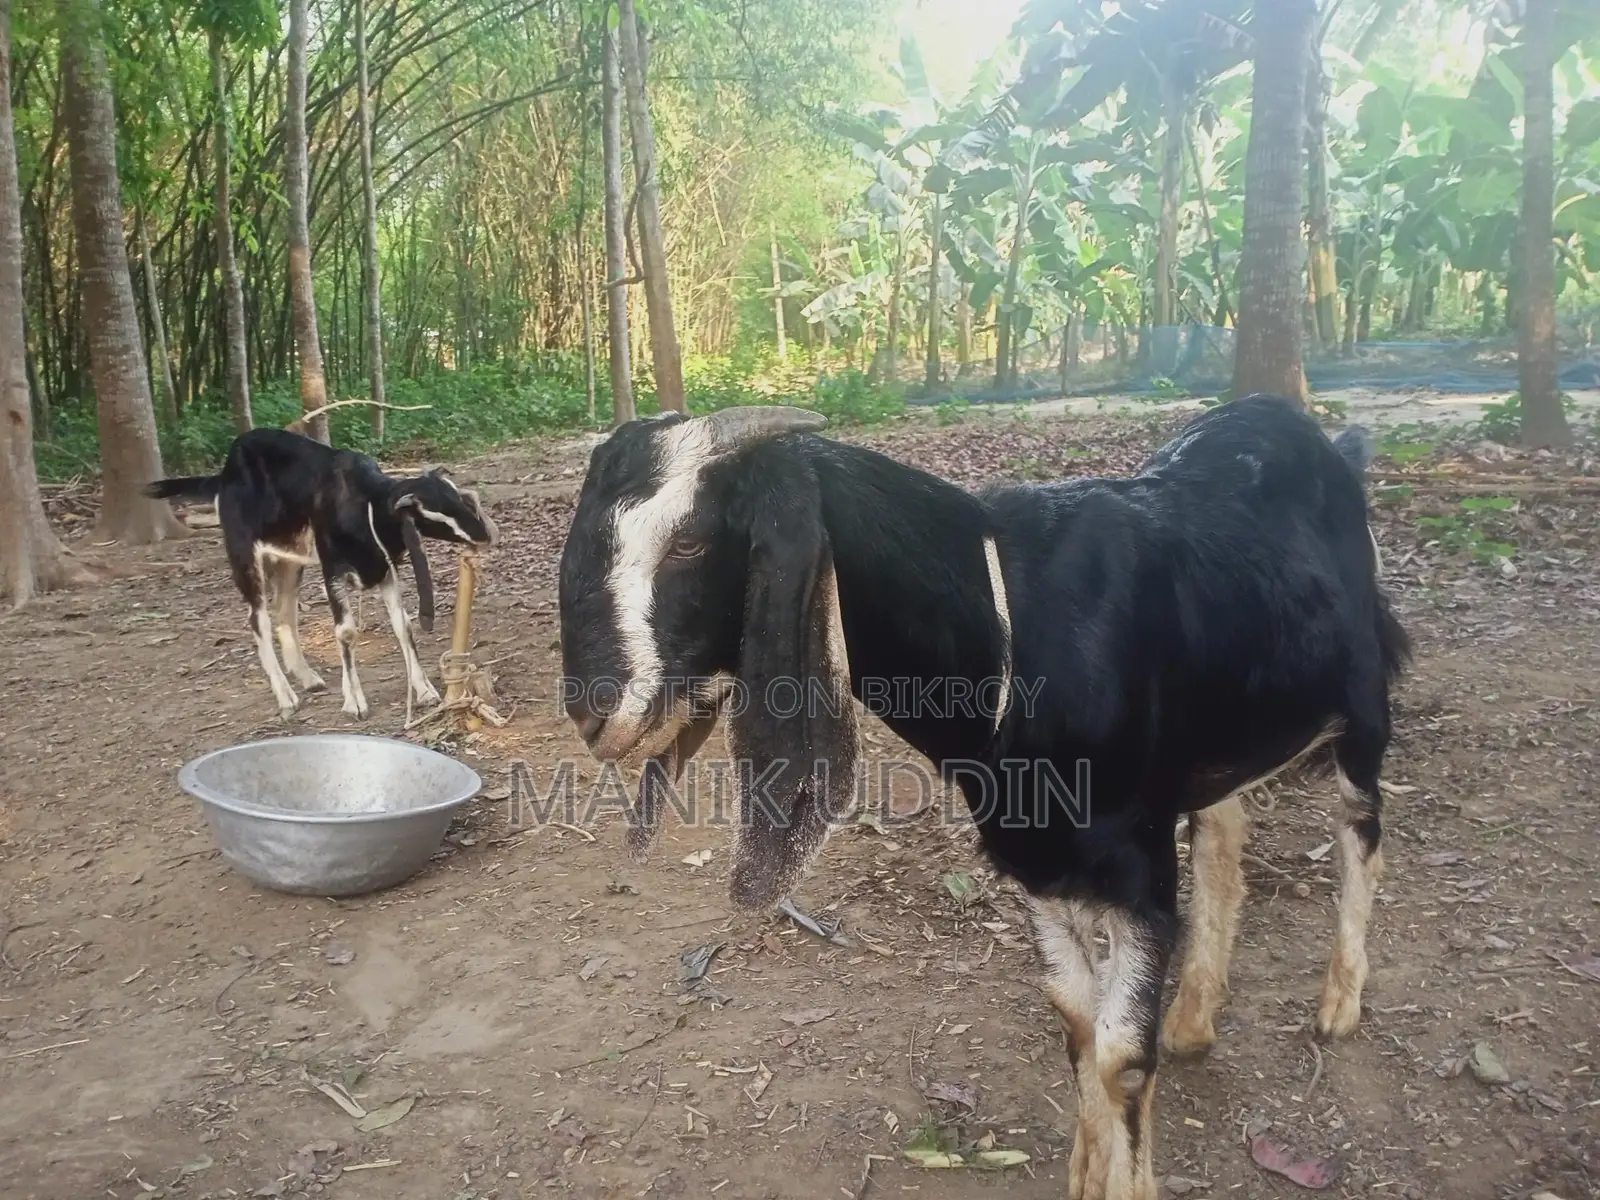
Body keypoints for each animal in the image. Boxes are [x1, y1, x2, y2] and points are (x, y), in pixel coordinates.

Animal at [144, 427, 496, 720]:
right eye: (431, 512)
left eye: (457, 496)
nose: (484, 535)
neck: (365, 506)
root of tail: (223, 473)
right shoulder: (333, 570)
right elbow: (346, 632)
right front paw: (354, 702)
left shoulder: (385, 569)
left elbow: (403, 625)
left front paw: (424, 691)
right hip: (243, 553)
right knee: (258, 619)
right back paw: (286, 697)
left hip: (289, 559)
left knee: (285, 612)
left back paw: (308, 678)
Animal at [555, 396, 1410, 1200]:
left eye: (692, 541)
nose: (592, 713)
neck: (1009, 633)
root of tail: (1324, 443)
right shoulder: (1035, 855)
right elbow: (1075, 1020)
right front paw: (1085, 1173)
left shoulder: (1140, 871)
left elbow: (1122, 1056)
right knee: (1225, 833)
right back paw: (1197, 1017)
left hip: (1363, 707)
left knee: (1360, 833)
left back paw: (1339, 1001)